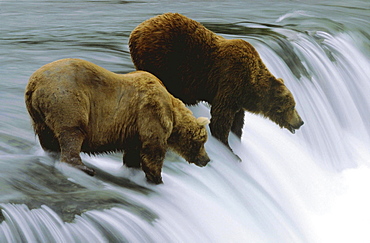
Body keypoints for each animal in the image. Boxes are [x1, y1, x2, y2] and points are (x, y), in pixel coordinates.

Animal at [25, 58, 211, 184]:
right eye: (202, 142)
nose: (207, 160)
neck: (172, 113)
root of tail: (34, 83)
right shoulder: (151, 113)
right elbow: (154, 149)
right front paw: (157, 178)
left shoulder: (134, 128)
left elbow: (133, 152)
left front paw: (133, 170)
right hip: (67, 98)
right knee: (72, 132)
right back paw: (83, 167)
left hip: (38, 114)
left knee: (46, 136)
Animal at [129, 13, 304, 150]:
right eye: (292, 106)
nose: (301, 122)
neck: (251, 86)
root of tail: (136, 30)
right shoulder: (231, 80)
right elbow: (221, 117)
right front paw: (228, 147)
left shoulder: (239, 97)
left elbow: (237, 120)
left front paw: (236, 139)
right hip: (160, 57)